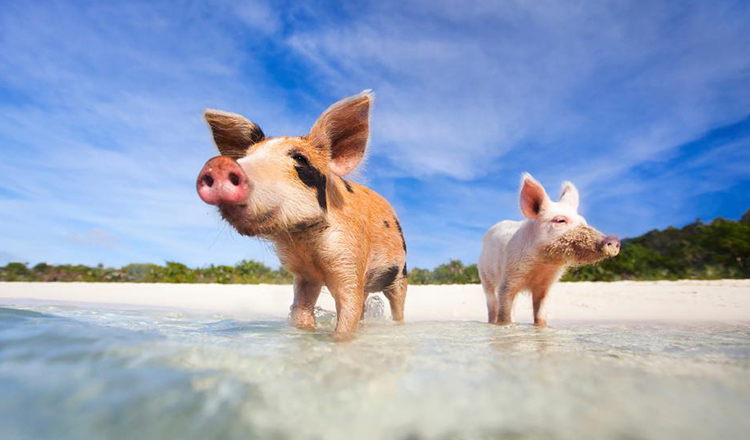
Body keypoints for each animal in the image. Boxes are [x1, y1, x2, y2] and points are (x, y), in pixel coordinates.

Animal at [194, 91, 406, 336]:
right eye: (244, 157)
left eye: (300, 159)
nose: (218, 164)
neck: (305, 242)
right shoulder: (304, 275)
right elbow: (301, 311)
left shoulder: (350, 257)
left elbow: (347, 313)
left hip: (401, 273)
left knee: (397, 305)